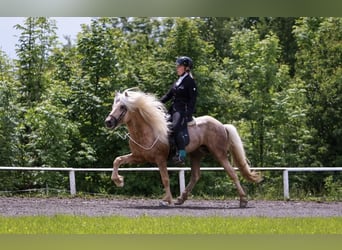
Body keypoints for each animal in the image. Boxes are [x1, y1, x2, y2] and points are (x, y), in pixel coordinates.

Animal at [104, 88, 262, 207]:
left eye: (122, 107)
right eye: (113, 106)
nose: (108, 122)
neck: (148, 129)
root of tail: (222, 125)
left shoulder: (160, 159)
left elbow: (165, 179)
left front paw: (167, 200)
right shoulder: (138, 157)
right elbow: (117, 160)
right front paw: (118, 180)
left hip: (219, 154)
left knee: (232, 173)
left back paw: (243, 200)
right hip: (196, 154)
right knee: (196, 175)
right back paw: (181, 198)